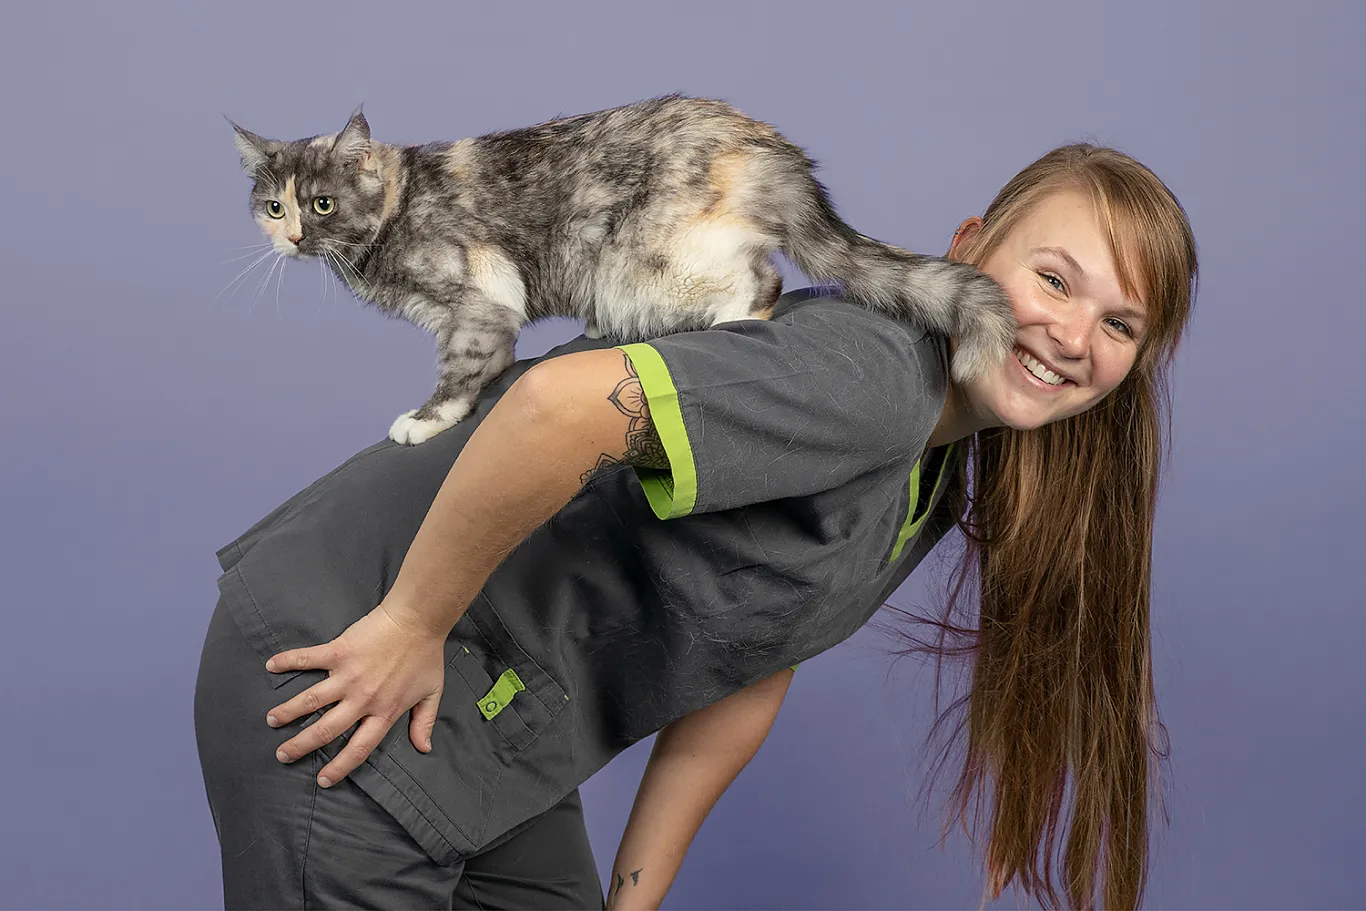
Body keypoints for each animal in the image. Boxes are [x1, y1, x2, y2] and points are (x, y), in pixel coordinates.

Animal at [229, 95, 1010, 445]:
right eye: (273, 206)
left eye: (322, 203)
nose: (291, 235)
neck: (395, 208)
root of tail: (768, 146)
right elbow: (489, 358)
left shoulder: (481, 294)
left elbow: (460, 366)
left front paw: (428, 420)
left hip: (643, 261)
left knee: (763, 282)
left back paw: (729, 323)